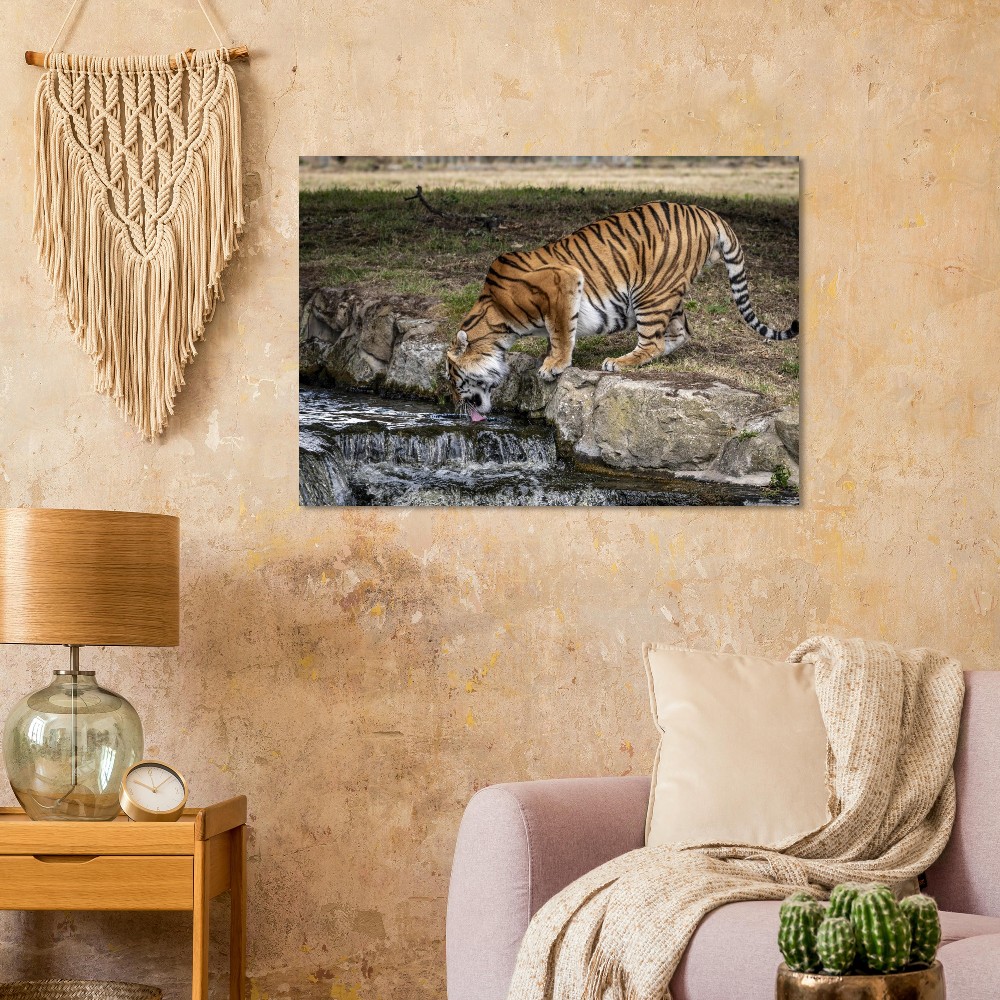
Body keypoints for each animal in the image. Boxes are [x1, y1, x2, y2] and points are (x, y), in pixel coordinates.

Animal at [446, 201, 798, 422]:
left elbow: (560, 331)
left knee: (652, 341)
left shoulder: (563, 281)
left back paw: (618, 362)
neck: (496, 319)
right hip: (668, 293)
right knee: (679, 333)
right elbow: (557, 333)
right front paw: (549, 359)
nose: (454, 405)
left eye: (453, 379)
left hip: (650, 292)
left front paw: (553, 366)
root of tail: (707, 212)